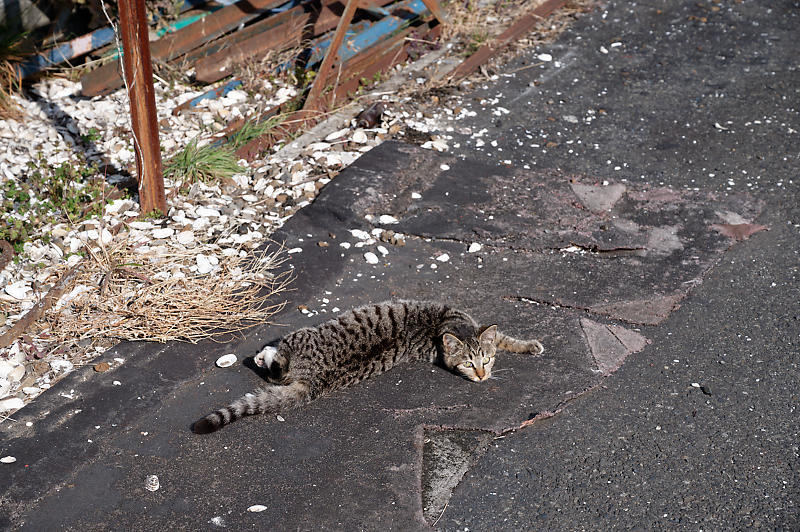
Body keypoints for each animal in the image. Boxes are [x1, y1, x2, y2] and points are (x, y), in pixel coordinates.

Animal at [193, 302, 544, 434]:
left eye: (485, 361)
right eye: (470, 364)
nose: (483, 376)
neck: (444, 325)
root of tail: (312, 377)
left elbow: (504, 339)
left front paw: (526, 346)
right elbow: (503, 338)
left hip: (296, 339)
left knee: (276, 365)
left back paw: (263, 356)